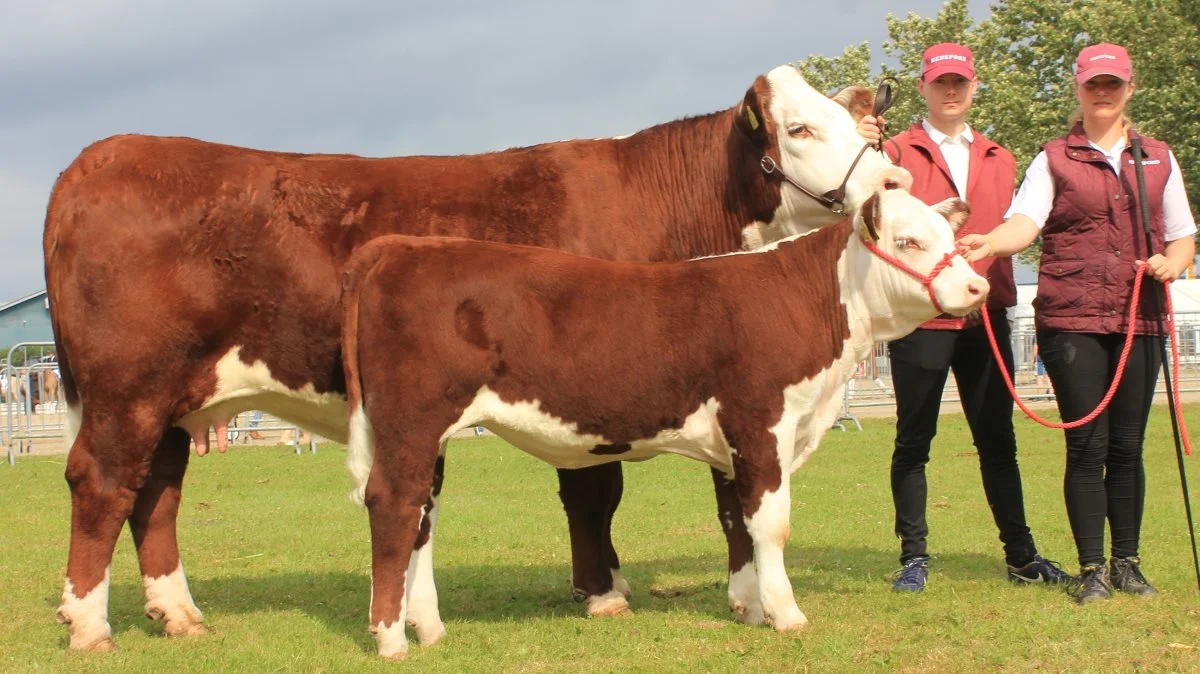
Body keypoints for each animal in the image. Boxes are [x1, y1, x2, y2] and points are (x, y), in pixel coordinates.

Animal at [340, 187, 984, 657]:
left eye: (952, 238)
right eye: (908, 240)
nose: (977, 285)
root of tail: (399, 247)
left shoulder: (734, 441)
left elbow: (735, 521)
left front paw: (749, 605)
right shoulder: (761, 422)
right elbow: (770, 524)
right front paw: (786, 613)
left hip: (427, 438)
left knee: (422, 515)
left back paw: (428, 627)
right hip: (412, 422)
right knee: (394, 506)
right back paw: (391, 638)